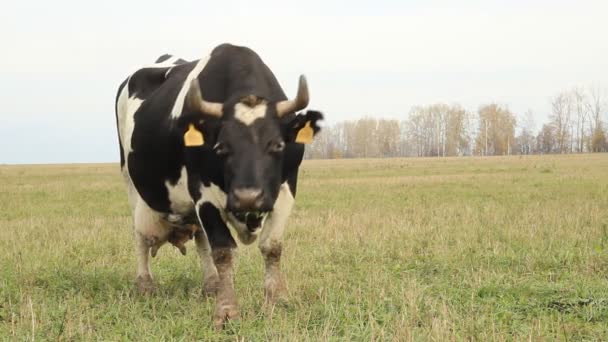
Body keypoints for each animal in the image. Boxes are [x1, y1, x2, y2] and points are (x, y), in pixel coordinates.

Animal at [113, 44, 324, 328]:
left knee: (200, 238)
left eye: (277, 145)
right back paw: (145, 285)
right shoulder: (204, 195)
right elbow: (223, 251)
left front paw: (275, 300)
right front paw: (227, 311)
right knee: (140, 237)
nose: (248, 198)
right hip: (132, 183)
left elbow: (272, 246)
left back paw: (211, 284)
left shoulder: (286, 189)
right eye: (221, 147)